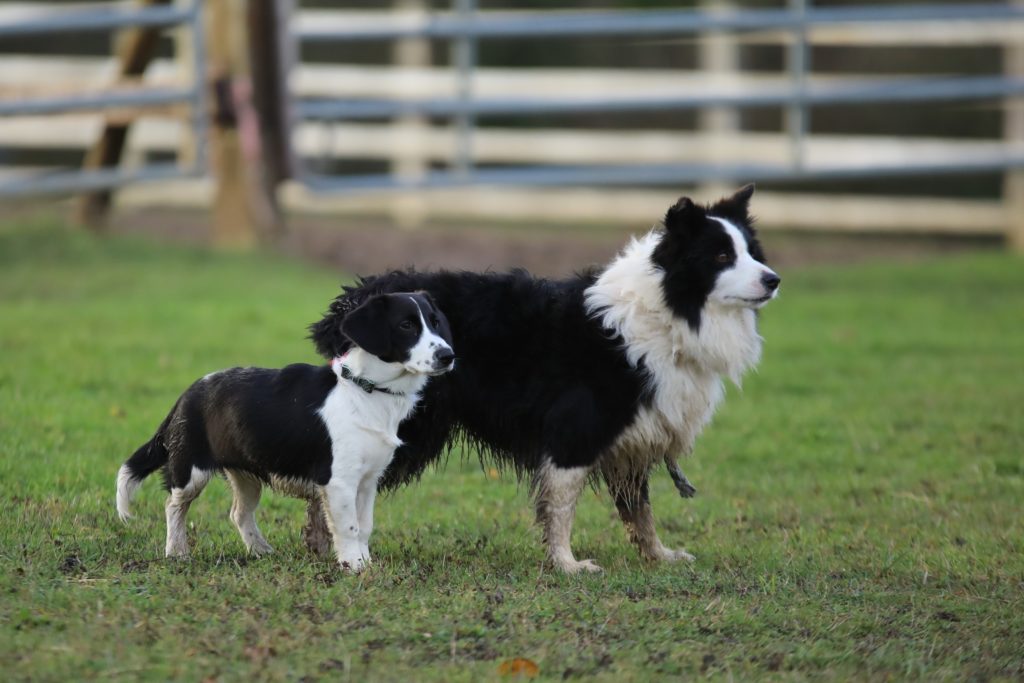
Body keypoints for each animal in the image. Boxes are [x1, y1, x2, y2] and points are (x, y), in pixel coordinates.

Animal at [115, 292, 452, 573]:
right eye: (406, 325)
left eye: (435, 323)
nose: (448, 356)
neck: (368, 390)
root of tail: (187, 394)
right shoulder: (339, 481)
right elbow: (348, 527)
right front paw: (354, 566)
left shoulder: (368, 481)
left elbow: (365, 525)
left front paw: (366, 562)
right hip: (191, 471)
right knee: (174, 505)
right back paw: (177, 552)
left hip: (246, 475)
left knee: (238, 513)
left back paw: (260, 549)